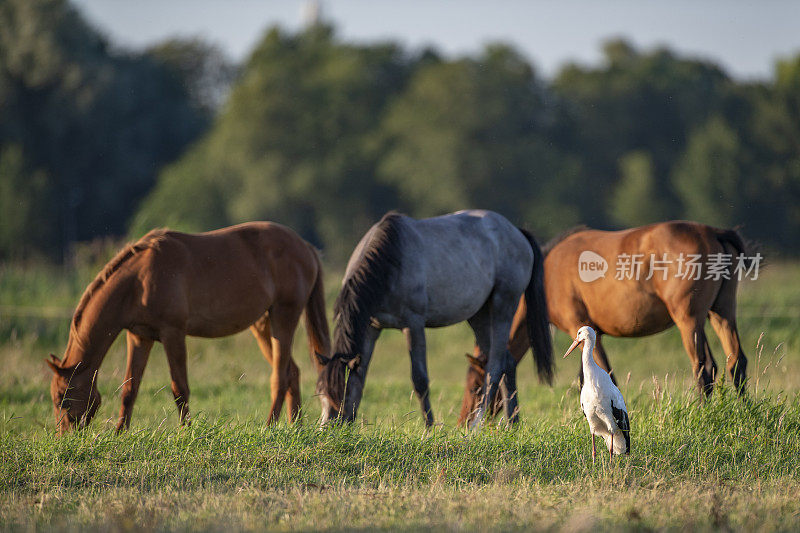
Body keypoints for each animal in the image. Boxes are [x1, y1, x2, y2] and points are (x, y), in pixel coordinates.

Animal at [47, 220, 330, 432]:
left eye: (62, 398)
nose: (65, 436)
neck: (140, 279)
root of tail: (305, 246)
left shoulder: (173, 334)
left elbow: (179, 388)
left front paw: (186, 431)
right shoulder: (139, 337)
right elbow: (130, 388)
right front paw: (120, 433)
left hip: (284, 317)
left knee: (279, 377)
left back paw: (269, 426)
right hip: (263, 326)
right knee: (292, 372)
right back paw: (295, 426)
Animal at [316, 210, 552, 426]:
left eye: (341, 393)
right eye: (321, 392)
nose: (328, 427)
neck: (390, 261)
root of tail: (517, 232)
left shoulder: (413, 324)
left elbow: (420, 380)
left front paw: (429, 429)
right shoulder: (371, 328)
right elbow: (362, 375)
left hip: (504, 306)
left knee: (494, 367)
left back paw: (476, 426)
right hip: (479, 316)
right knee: (507, 362)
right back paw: (513, 423)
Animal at [460, 220, 752, 424]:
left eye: (475, 387)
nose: (464, 422)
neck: (549, 271)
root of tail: (712, 232)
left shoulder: (581, 327)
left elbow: (606, 377)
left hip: (689, 321)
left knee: (704, 367)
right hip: (721, 313)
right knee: (736, 362)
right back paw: (743, 410)